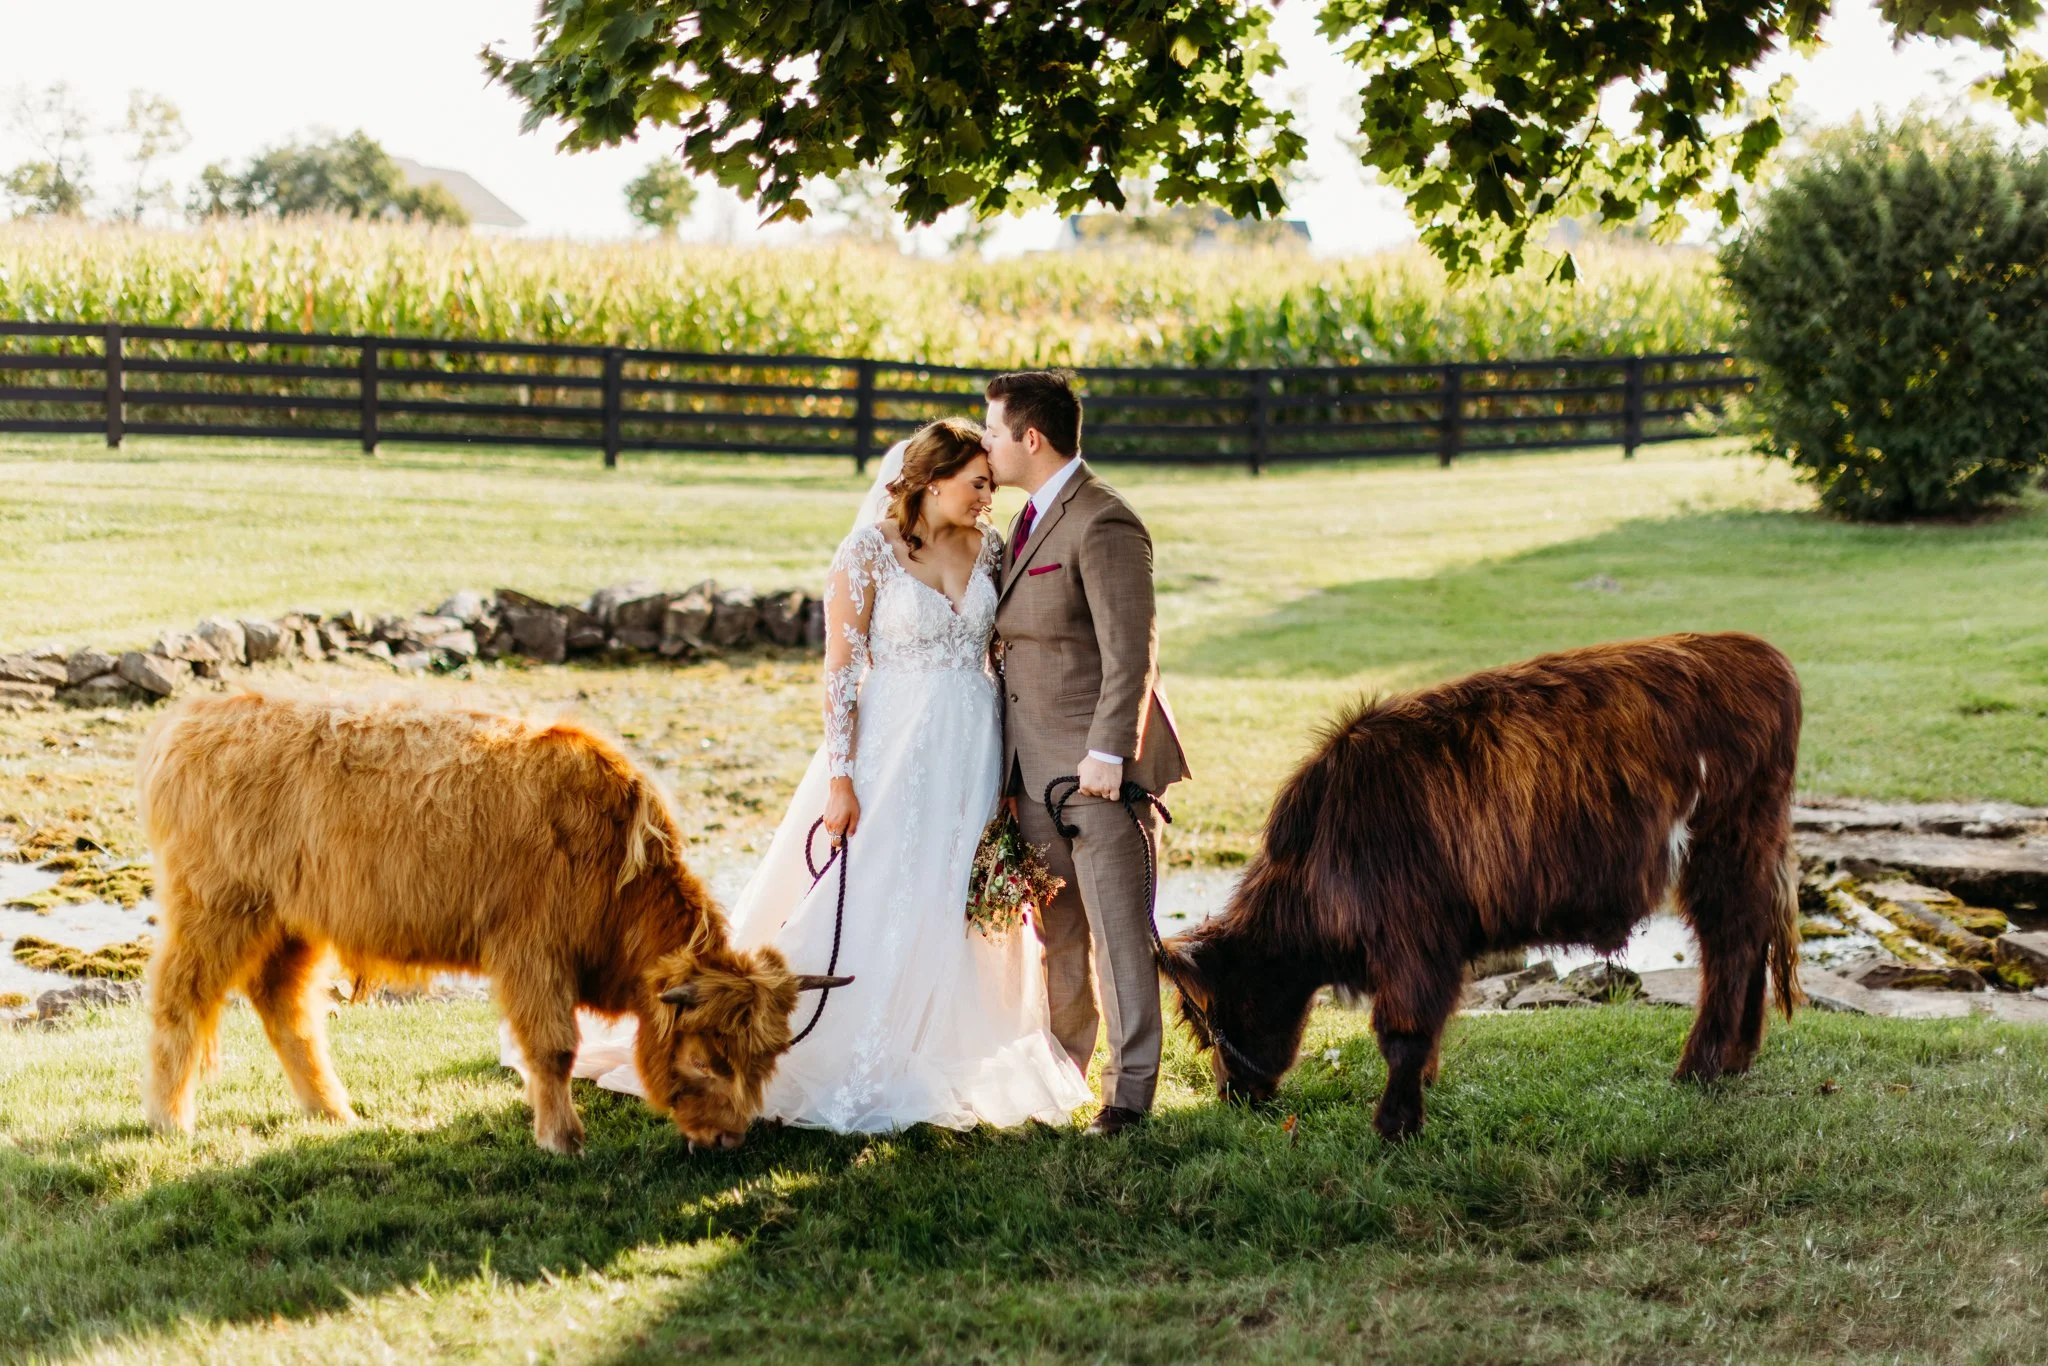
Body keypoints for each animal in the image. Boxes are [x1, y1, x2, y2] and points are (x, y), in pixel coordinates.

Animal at [137, 689, 847, 1154]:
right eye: (709, 1058)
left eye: (767, 1058)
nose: (730, 1139)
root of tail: (197, 717)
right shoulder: (533, 953)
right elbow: (555, 1049)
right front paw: (563, 1139)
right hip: (216, 907)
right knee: (181, 999)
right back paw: (171, 1120)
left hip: (293, 924)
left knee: (283, 1004)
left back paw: (333, 1111)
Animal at [1162, 632, 1803, 1142]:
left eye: (1210, 1022)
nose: (1232, 1095)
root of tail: (1755, 652)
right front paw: (1421, 1091)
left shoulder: (1412, 939)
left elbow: (1403, 1031)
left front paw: (1395, 1126)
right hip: (1747, 851)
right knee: (1752, 941)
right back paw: (1738, 1057)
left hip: (1723, 847)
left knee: (1729, 949)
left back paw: (1698, 1066)